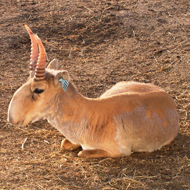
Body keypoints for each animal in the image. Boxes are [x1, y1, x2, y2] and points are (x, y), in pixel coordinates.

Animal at [7, 25, 180, 159]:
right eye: (26, 80)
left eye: (39, 89)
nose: (12, 118)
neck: (91, 114)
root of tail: (167, 97)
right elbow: (64, 143)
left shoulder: (119, 151)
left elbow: (82, 153)